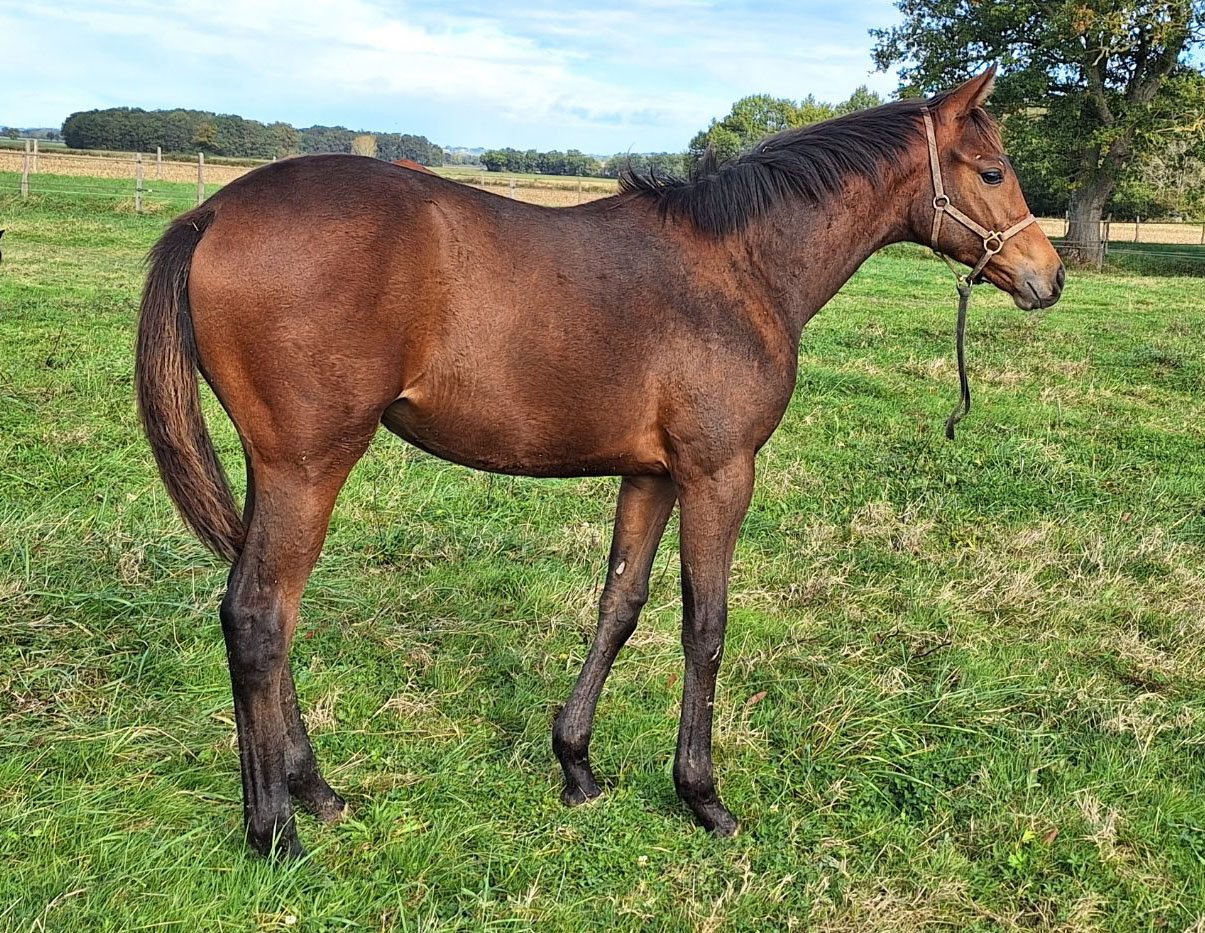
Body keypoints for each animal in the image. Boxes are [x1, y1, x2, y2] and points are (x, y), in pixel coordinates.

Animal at [135, 68, 1064, 858]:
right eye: (990, 171)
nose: (1047, 277)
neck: (739, 267)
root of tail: (211, 215)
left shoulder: (650, 474)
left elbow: (619, 603)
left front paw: (575, 764)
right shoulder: (719, 471)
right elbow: (704, 625)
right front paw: (702, 796)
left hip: (274, 466)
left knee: (266, 608)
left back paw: (315, 790)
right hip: (309, 464)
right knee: (259, 615)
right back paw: (275, 831)